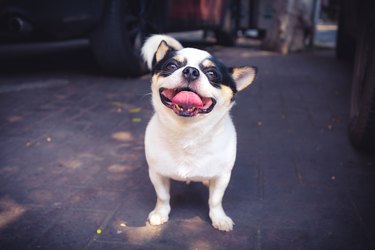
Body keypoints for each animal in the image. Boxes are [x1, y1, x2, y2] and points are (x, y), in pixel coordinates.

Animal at [142, 34, 258, 231]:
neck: (188, 133)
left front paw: (219, 218)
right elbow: (163, 196)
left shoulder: (222, 176)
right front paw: (160, 213)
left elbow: (215, 200)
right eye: (171, 66)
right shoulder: (157, 173)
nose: (190, 71)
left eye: (212, 74)